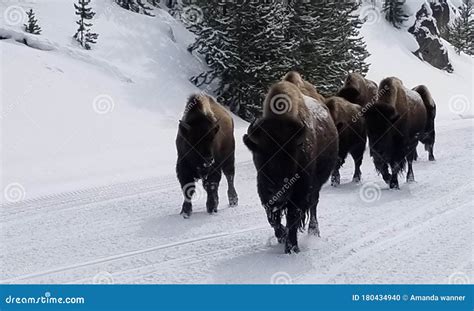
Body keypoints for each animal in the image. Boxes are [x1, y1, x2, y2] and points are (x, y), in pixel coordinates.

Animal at [243, 81, 338, 254]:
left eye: (291, 156)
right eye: (260, 156)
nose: (278, 193)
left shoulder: (300, 192)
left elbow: (292, 217)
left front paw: (291, 248)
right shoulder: (264, 194)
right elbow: (273, 218)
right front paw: (282, 237)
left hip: (316, 186)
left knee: (313, 205)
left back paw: (314, 231)